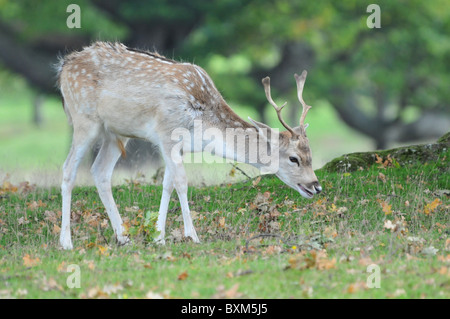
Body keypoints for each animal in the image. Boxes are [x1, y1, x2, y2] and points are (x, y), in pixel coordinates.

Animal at [56, 41, 322, 250]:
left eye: (310, 154)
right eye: (294, 158)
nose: (316, 186)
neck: (203, 125)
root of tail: (64, 66)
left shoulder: (179, 146)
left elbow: (168, 183)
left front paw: (159, 237)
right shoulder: (166, 133)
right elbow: (182, 182)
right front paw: (192, 235)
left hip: (115, 133)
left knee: (100, 171)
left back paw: (123, 237)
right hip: (84, 119)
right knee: (68, 169)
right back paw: (66, 242)